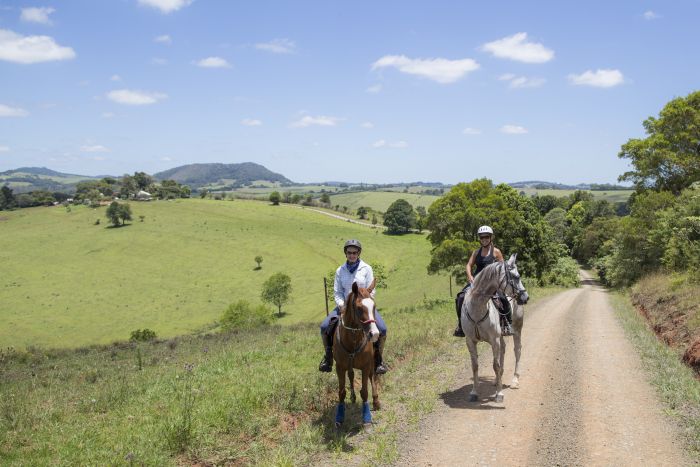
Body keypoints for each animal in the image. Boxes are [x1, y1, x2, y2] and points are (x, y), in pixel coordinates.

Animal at [332, 282, 380, 428]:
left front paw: (367, 418)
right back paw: (353, 397)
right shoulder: (340, 367)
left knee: (373, 377)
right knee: (351, 375)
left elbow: (364, 392)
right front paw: (339, 417)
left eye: (374, 306)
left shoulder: (365, 366)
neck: (353, 339)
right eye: (359, 308)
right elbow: (341, 392)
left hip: (372, 363)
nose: (374, 334)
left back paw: (376, 402)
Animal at [462, 254, 528, 404]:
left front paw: (499, 394)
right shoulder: (470, 341)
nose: (525, 297)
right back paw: (498, 379)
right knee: (503, 349)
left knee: (517, 350)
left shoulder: (494, 340)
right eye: (516, 277)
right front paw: (474, 392)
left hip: (517, 330)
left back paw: (514, 380)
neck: (478, 308)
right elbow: (475, 366)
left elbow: (495, 365)